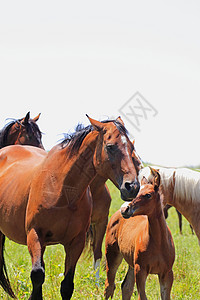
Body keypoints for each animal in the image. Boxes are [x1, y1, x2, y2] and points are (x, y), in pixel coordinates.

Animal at [87, 139, 142, 282]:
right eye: (134, 160)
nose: (133, 187)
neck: (94, 190)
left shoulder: (101, 223)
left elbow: (97, 252)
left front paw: (96, 282)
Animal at [104, 169, 174, 300]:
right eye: (137, 193)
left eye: (148, 195)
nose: (125, 209)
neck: (159, 243)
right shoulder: (140, 270)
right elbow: (142, 296)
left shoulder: (167, 274)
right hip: (112, 255)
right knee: (109, 286)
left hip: (131, 262)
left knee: (126, 287)